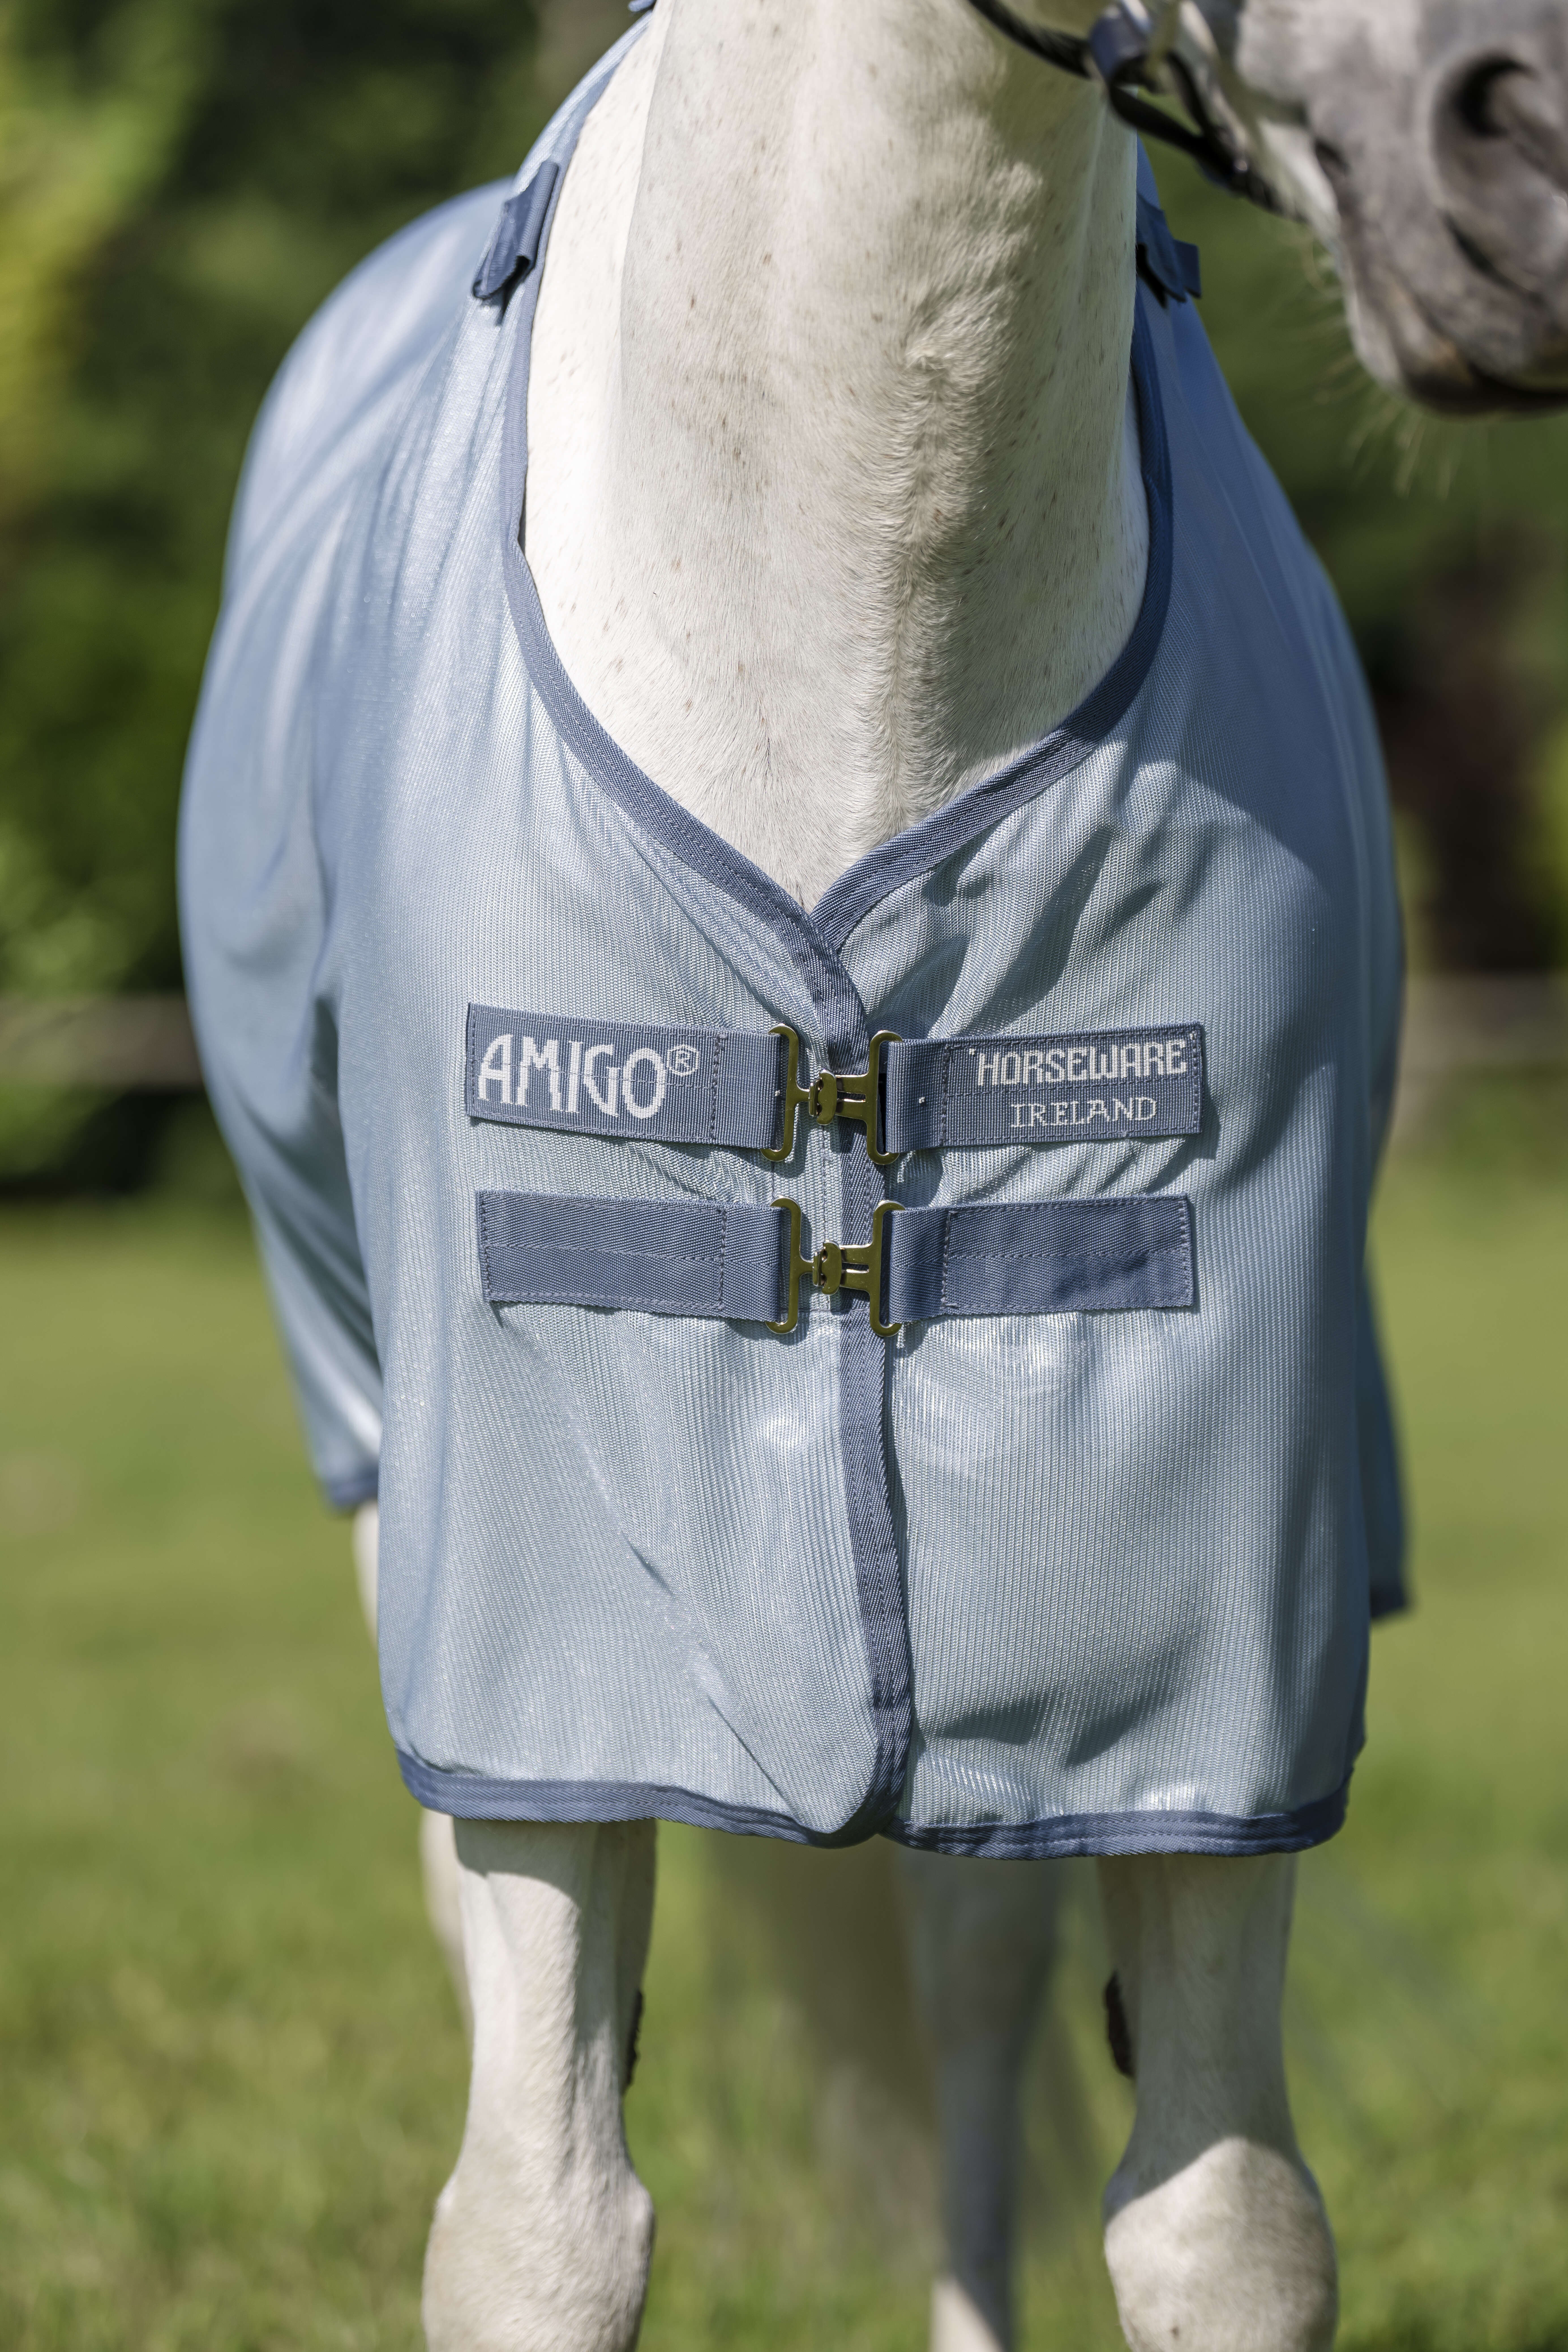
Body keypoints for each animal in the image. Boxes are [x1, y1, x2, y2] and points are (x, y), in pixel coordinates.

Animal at [179, 3, 1568, 2348]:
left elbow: (1220, 2221)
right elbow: (541, 2224)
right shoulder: (543, 1624)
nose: (1520, 152)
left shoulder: (1209, 1616)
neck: (854, 591)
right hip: (387, 1482)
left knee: (972, 1978)